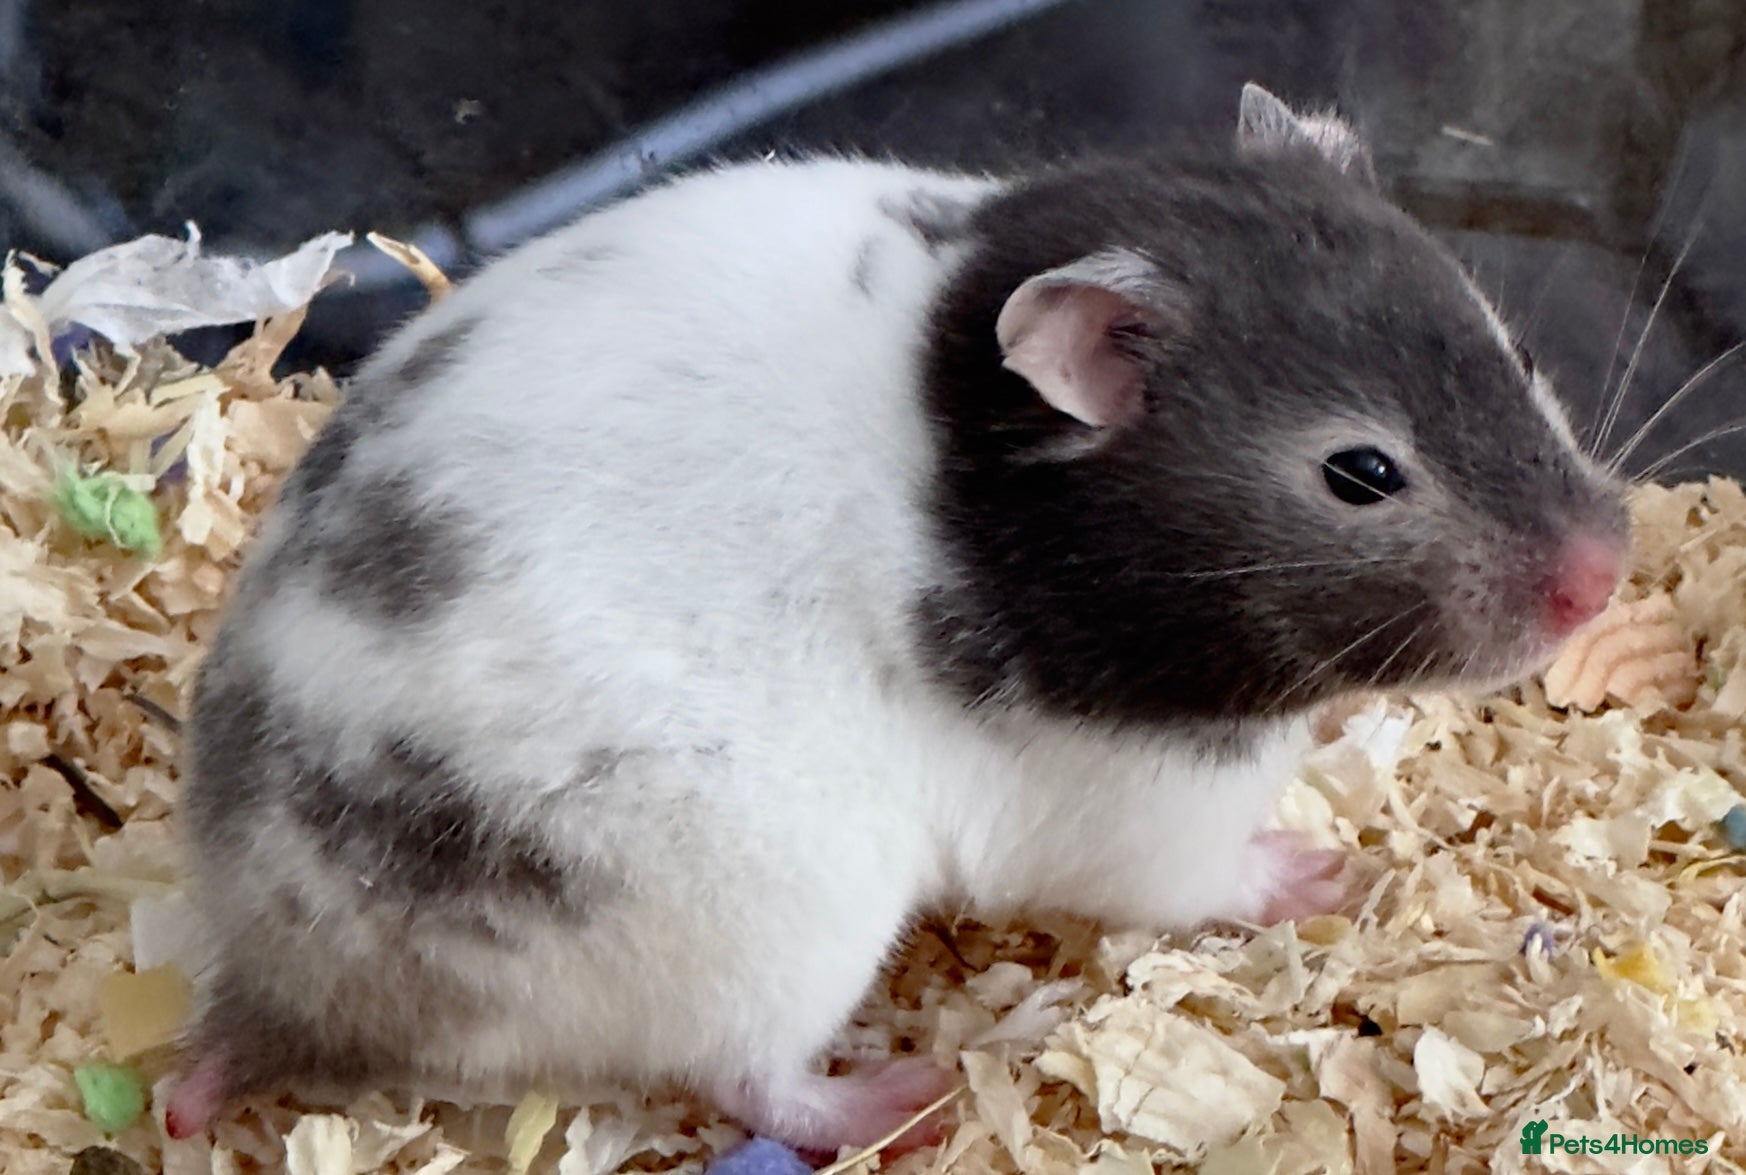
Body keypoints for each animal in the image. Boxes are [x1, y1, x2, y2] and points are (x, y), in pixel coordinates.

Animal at [165, 85, 1629, 1149]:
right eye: (1361, 472)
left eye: (1513, 347)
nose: (1605, 572)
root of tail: (280, 981)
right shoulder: (1132, 805)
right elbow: (1204, 875)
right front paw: (1329, 873)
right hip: (770, 916)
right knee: (748, 1075)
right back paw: (907, 1096)